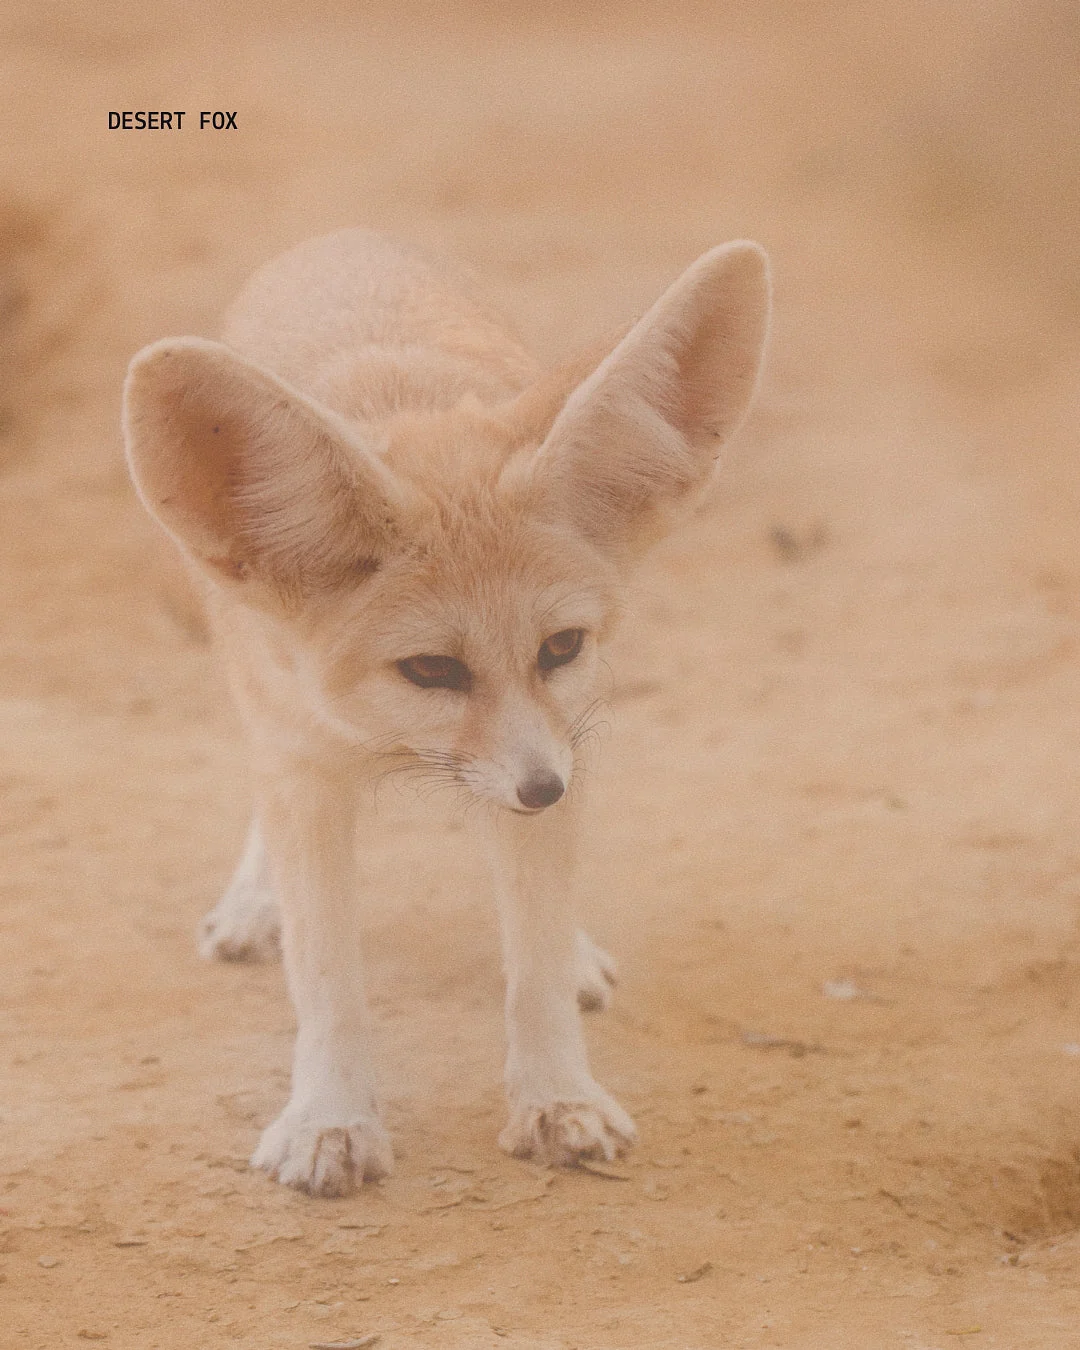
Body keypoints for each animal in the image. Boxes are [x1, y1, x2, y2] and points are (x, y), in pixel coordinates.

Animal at [122, 228, 770, 1197]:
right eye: (431, 668)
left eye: (561, 647)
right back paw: (252, 900)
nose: (542, 792)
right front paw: (331, 1118)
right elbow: (325, 977)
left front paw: (557, 1096)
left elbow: (533, 961)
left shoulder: (558, 743)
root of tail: (343, 236)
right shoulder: (305, 766)